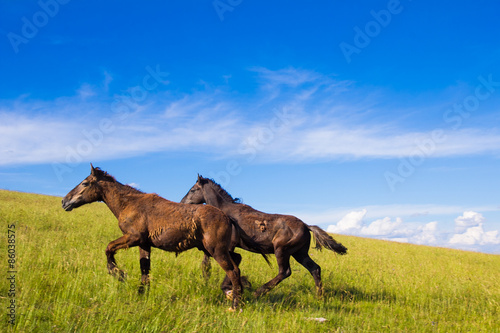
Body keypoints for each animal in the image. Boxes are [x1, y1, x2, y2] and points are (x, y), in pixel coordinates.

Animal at [61, 165, 245, 310]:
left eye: (85, 183)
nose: (64, 201)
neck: (129, 203)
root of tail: (227, 217)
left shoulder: (133, 238)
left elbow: (109, 248)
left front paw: (118, 274)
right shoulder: (144, 244)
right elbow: (144, 270)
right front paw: (141, 294)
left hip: (216, 251)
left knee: (234, 271)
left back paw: (235, 305)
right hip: (212, 249)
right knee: (237, 261)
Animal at [182, 175, 350, 296]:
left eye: (192, 190)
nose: (183, 202)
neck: (226, 211)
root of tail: (306, 226)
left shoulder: (228, 246)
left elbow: (229, 264)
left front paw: (235, 285)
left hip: (281, 250)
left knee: (285, 272)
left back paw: (259, 292)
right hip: (299, 253)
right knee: (315, 269)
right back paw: (319, 297)